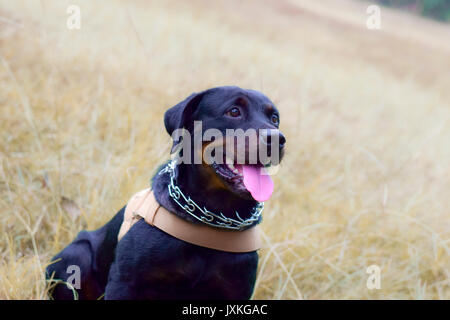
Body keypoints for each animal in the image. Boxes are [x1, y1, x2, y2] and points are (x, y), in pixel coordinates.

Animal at [45, 85, 284, 300]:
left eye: (274, 118)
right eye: (234, 111)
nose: (277, 138)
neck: (211, 218)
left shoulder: (235, 289)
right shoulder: (125, 282)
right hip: (75, 255)